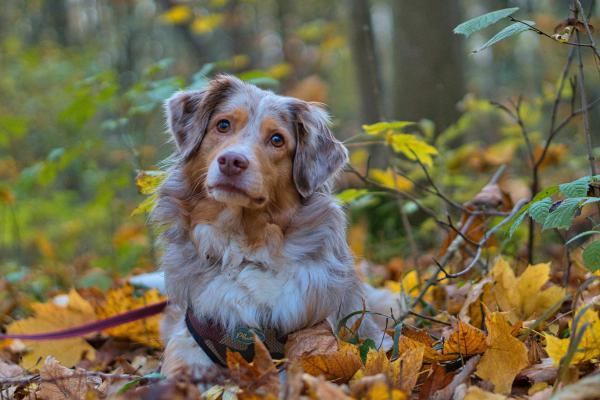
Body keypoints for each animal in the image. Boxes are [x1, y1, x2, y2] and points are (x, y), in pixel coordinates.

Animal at [152, 76, 390, 378]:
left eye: (277, 139)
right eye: (223, 125)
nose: (231, 161)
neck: (243, 249)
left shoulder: (315, 338)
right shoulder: (186, 349)